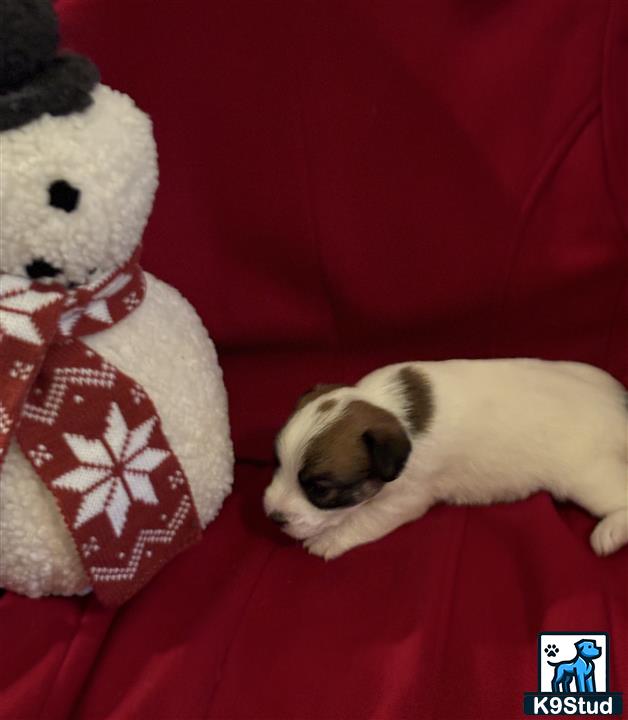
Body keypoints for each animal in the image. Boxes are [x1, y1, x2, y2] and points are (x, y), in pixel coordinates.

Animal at [264, 362, 628, 560]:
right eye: (277, 463)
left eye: (320, 489)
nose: (272, 517)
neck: (388, 409)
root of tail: (619, 406)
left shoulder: (404, 500)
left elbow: (362, 519)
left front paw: (328, 540)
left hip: (586, 475)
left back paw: (609, 531)